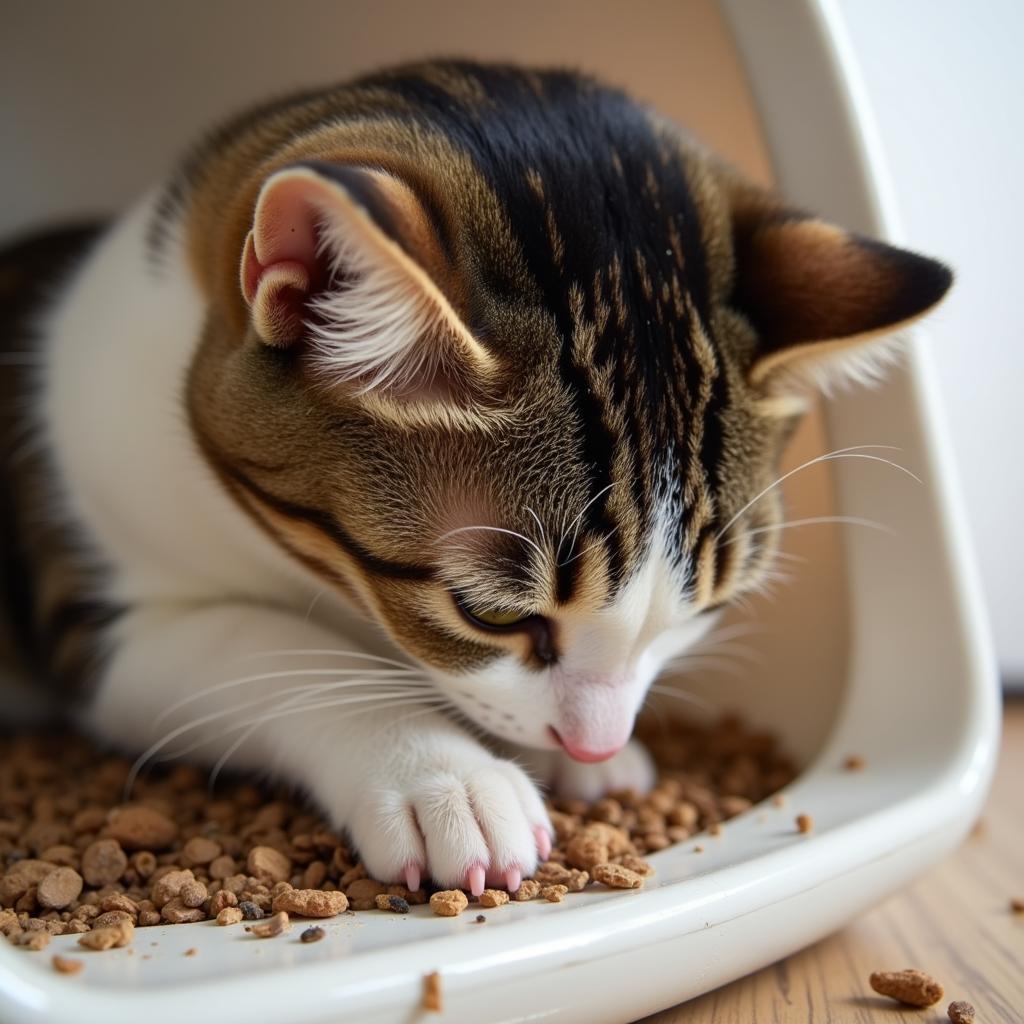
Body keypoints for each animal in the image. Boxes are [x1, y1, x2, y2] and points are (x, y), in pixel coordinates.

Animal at [0, 59, 950, 892]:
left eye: (702, 611)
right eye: (490, 614)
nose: (596, 743)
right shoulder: (94, 617)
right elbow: (265, 645)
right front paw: (443, 775)